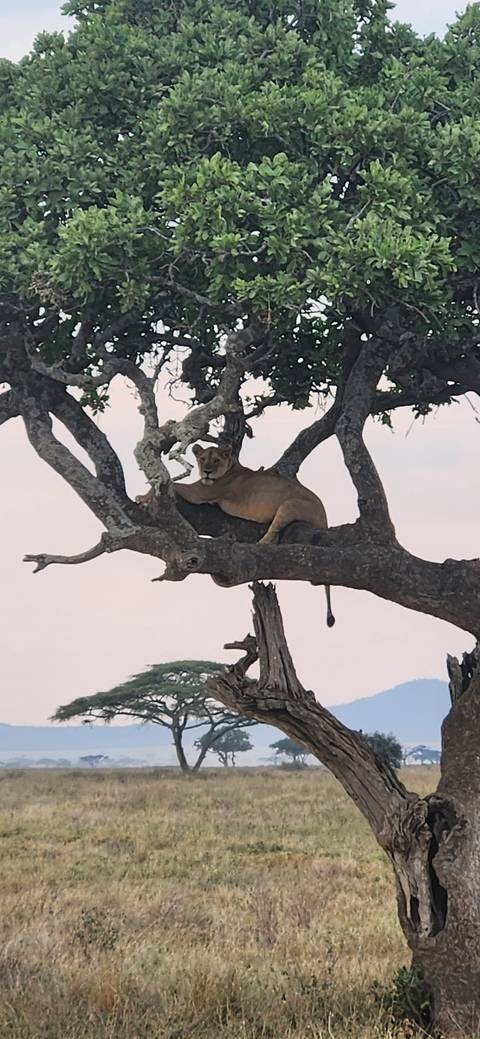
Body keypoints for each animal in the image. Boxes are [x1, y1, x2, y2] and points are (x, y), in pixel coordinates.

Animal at [137, 444, 335, 627]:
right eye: (202, 459)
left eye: (216, 460)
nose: (207, 471)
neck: (230, 468)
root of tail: (325, 515)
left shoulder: (200, 492)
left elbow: (173, 483)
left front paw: (143, 497)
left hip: (290, 504)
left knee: (274, 532)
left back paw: (261, 543)